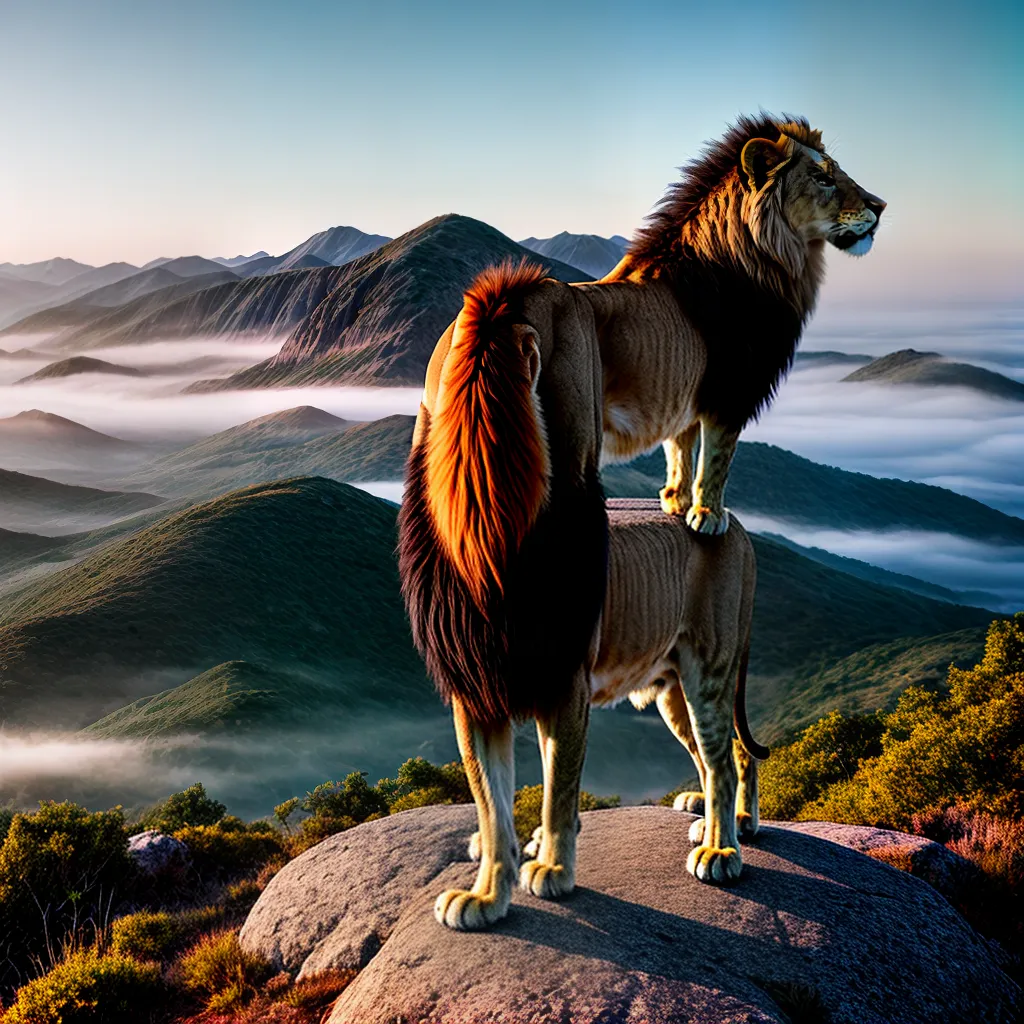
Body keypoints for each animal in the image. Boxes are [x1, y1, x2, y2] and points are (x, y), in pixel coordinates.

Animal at [398, 113, 881, 929]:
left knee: (727, 759)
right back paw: (727, 824)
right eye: (823, 177)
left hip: (704, 667)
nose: (877, 207)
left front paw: (697, 512)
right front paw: (489, 892)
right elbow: (493, 803)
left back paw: (726, 844)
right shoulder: (478, 694)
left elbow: (557, 788)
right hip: (668, 682)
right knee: (725, 757)